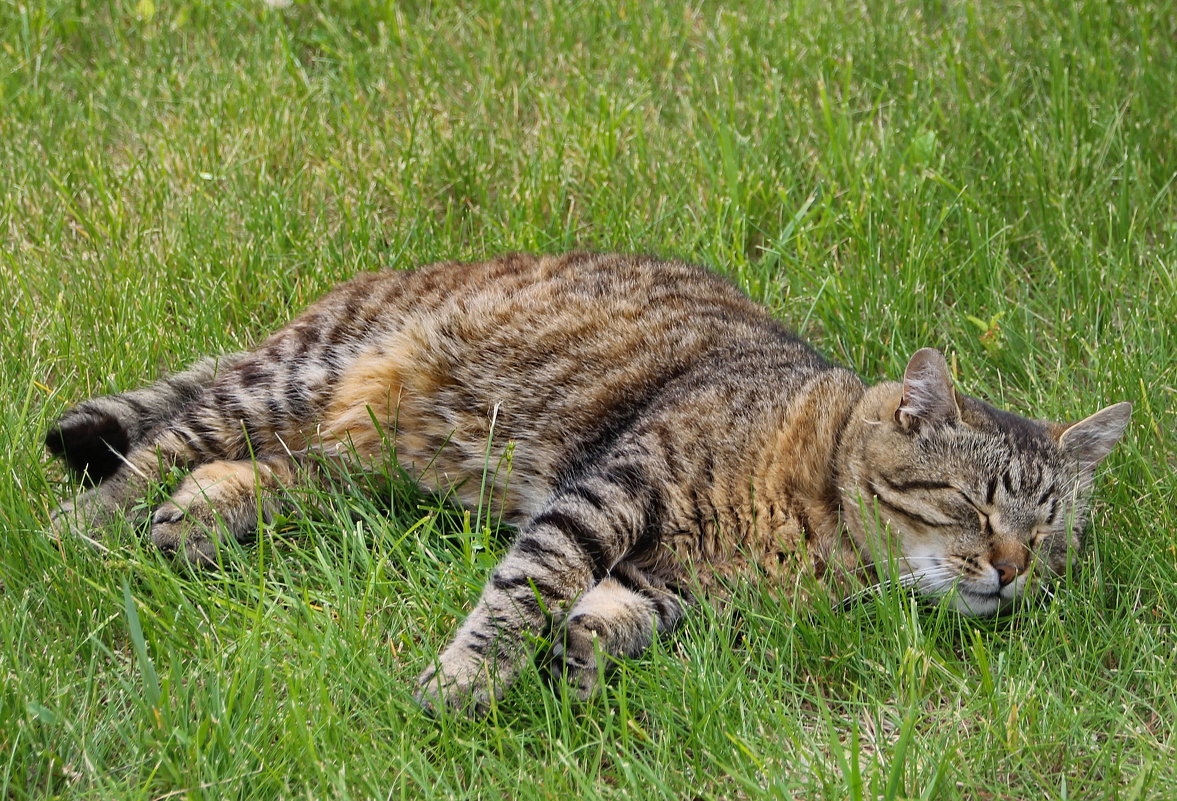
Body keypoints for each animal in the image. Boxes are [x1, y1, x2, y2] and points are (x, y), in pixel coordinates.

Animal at [45, 251, 1129, 710]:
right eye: (971, 505)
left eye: (1049, 535)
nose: (1010, 572)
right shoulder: (612, 490)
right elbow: (527, 586)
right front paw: (468, 679)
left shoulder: (671, 582)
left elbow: (610, 616)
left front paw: (577, 667)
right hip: (298, 375)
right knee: (165, 439)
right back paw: (82, 529)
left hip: (359, 457)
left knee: (262, 469)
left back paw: (197, 519)